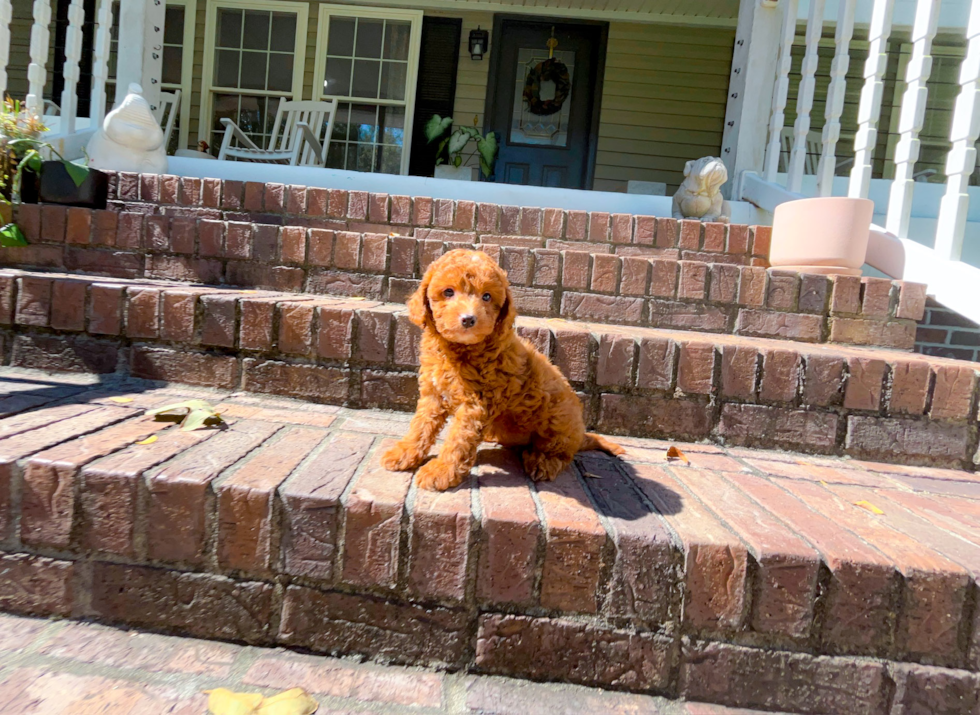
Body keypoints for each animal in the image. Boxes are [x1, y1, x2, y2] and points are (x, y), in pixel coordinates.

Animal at [378, 250, 624, 492]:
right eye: (448, 292)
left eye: (487, 297)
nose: (468, 319)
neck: (460, 350)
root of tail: (581, 435)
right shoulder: (434, 394)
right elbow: (420, 426)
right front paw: (404, 453)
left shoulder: (476, 404)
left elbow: (458, 439)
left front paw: (440, 471)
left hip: (558, 416)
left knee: (561, 452)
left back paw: (543, 461)